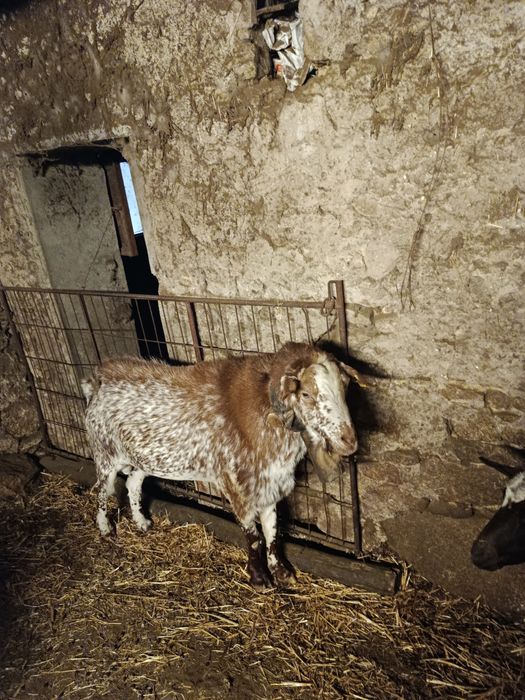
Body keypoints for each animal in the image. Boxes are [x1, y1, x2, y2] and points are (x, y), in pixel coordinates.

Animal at [82, 342, 365, 587]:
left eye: (345, 387)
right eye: (305, 394)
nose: (349, 440)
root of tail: (96, 383)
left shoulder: (268, 483)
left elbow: (272, 531)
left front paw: (281, 573)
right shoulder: (238, 486)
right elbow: (254, 537)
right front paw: (260, 579)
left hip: (144, 459)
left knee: (132, 483)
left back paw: (141, 522)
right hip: (106, 454)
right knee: (102, 490)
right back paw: (105, 527)